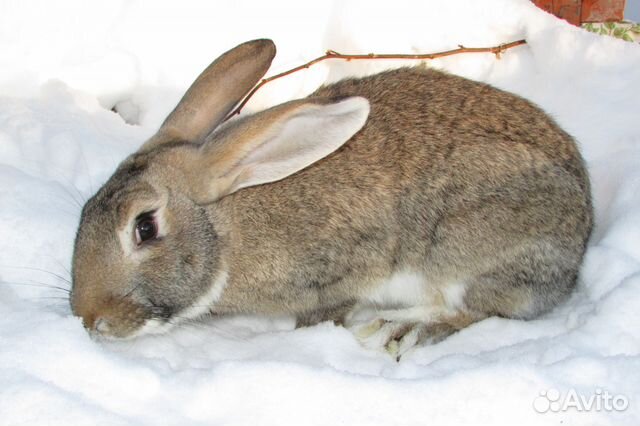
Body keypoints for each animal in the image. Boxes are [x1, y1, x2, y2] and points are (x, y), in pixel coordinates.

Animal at [69, 38, 592, 358]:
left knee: (478, 307)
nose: (89, 319)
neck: (227, 230)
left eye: (145, 227)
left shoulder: (341, 273)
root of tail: (582, 235)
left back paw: (396, 328)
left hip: (467, 249)